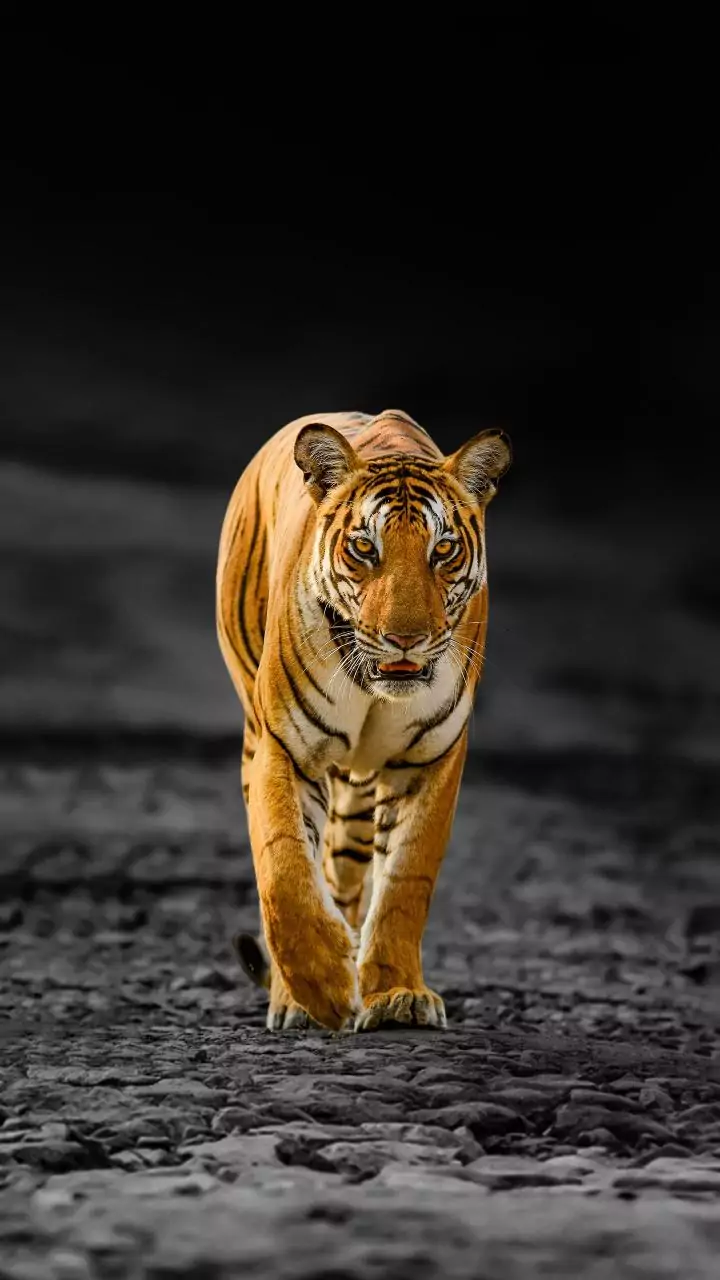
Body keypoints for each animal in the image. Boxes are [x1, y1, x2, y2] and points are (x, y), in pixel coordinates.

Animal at [216, 409, 511, 1032]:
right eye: (363, 547)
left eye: (443, 549)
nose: (406, 638)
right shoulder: (284, 748)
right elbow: (283, 868)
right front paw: (323, 988)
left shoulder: (431, 760)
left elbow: (405, 881)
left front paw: (397, 992)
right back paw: (294, 997)